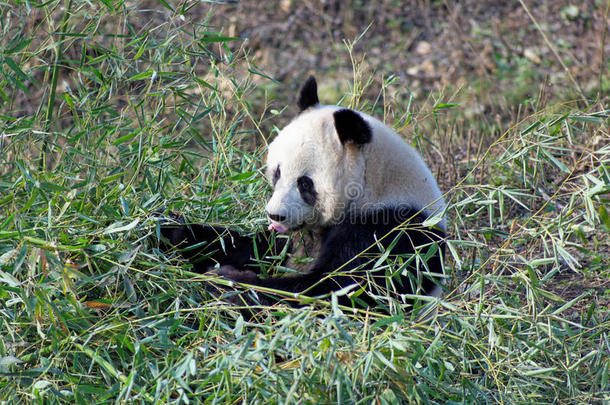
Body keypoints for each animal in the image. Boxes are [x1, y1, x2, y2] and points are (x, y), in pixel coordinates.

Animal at [160, 76, 446, 310]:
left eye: (305, 184)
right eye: (277, 173)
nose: (275, 216)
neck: (374, 185)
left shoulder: (394, 233)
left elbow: (338, 292)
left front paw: (229, 283)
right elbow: (253, 246)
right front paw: (169, 229)